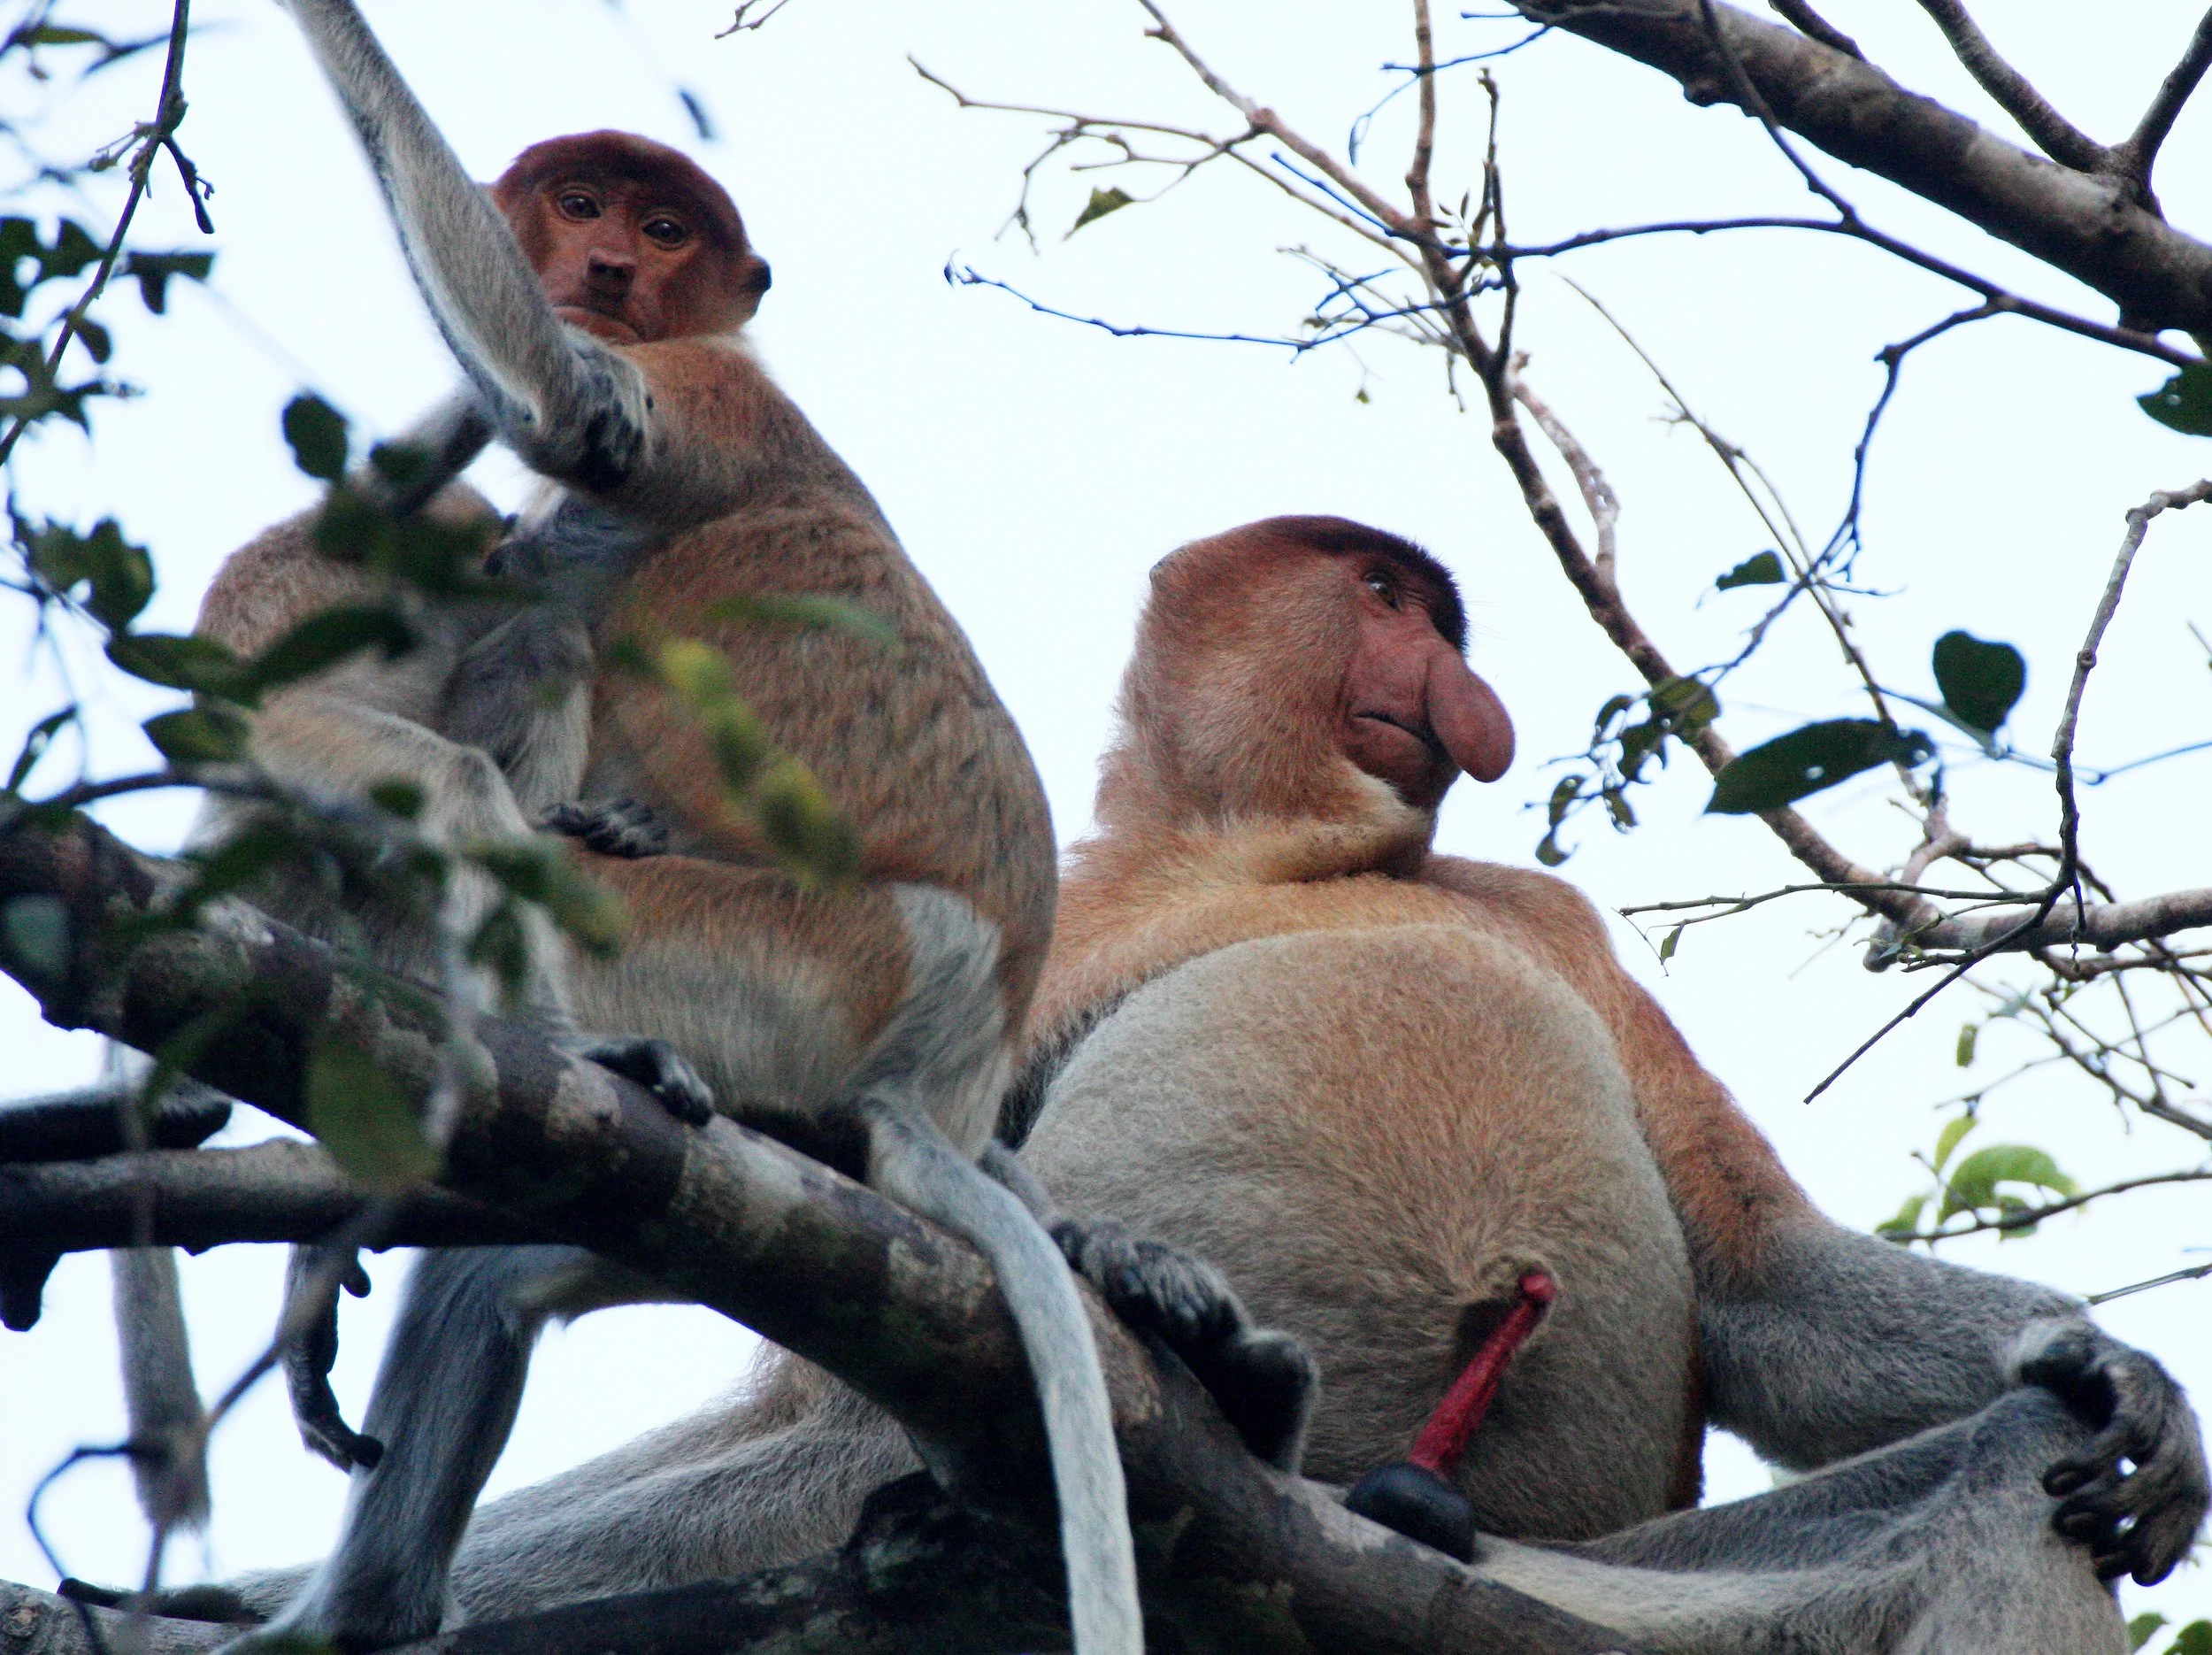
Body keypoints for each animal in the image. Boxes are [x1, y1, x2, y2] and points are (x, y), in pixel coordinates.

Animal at [149, 4, 1145, 1649]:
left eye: (665, 227)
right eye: (582, 201)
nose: (605, 264)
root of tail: (954, 1048)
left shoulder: (706, 394)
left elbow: (575, 410)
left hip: (776, 961)